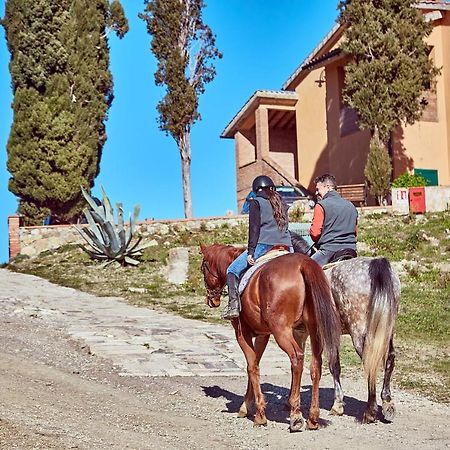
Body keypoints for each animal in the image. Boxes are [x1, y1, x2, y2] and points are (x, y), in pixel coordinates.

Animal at [199, 246, 340, 432]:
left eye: (203, 268)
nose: (211, 300)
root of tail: (302, 264)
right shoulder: (263, 335)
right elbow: (255, 363)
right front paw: (246, 405)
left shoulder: (242, 333)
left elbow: (251, 366)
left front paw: (259, 414)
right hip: (314, 330)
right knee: (315, 365)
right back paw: (313, 417)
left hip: (282, 332)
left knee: (297, 358)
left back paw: (295, 415)